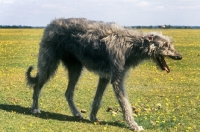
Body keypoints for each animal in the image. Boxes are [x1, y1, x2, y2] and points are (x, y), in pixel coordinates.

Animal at [25, 17, 182, 131]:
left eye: (170, 44)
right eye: (165, 45)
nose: (179, 56)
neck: (131, 44)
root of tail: (52, 23)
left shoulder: (105, 76)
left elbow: (97, 99)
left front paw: (93, 117)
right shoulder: (117, 78)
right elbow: (125, 104)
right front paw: (133, 125)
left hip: (75, 68)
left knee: (68, 92)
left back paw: (76, 112)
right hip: (49, 63)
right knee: (37, 85)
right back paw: (35, 108)